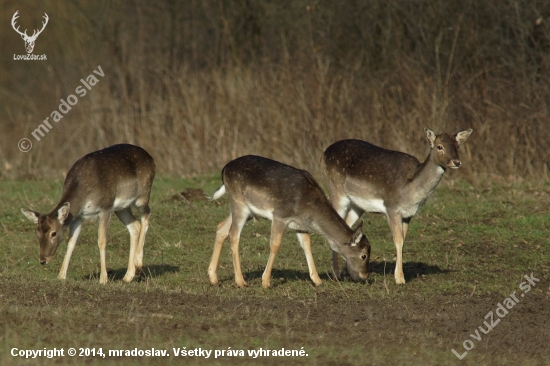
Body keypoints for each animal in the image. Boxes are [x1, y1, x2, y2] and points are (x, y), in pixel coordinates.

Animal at [21, 144, 155, 284]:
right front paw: (61, 275)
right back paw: (128, 276)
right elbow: (71, 242)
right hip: (121, 207)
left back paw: (138, 264)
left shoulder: (105, 208)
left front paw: (103, 279)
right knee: (135, 226)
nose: (43, 260)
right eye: (37, 233)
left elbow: (102, 241)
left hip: (143, 194)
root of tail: (151, 159)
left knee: (147, 215)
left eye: (54, 233)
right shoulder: (78, 216)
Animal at [209, 155, 374, 288]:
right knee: (233, 234)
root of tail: (224, 169)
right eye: (363, 255)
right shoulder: (280, 215)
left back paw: (213, 278)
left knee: (221, 227)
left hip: (247, 210)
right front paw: (266, 282)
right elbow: (275, 245)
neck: (309, 211)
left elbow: (307, 244)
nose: (366, 275)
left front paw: (317, 280)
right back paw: (240, 281)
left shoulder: (299, 225)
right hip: (239, 203)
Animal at [324, 127, 474, 284]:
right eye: (440, 146)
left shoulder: (408, 214)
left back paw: (350, 273)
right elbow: (398, 241)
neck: (411, 191)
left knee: (346, 225)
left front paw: (398, 274)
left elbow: (403, 240)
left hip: (357, 205)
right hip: (336, 191)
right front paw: (400, 279)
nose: (456, 162)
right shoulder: (392, 208)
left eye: (457, 146)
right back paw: (336, 274)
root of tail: (324, 152)